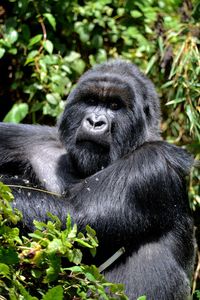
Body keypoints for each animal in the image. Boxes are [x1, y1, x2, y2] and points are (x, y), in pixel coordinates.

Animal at [0, 59, 195, 298]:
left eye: (114, 106)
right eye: (92, 101)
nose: (95, 122)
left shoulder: (152, 161)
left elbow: (77, 218)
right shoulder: (34, 139)